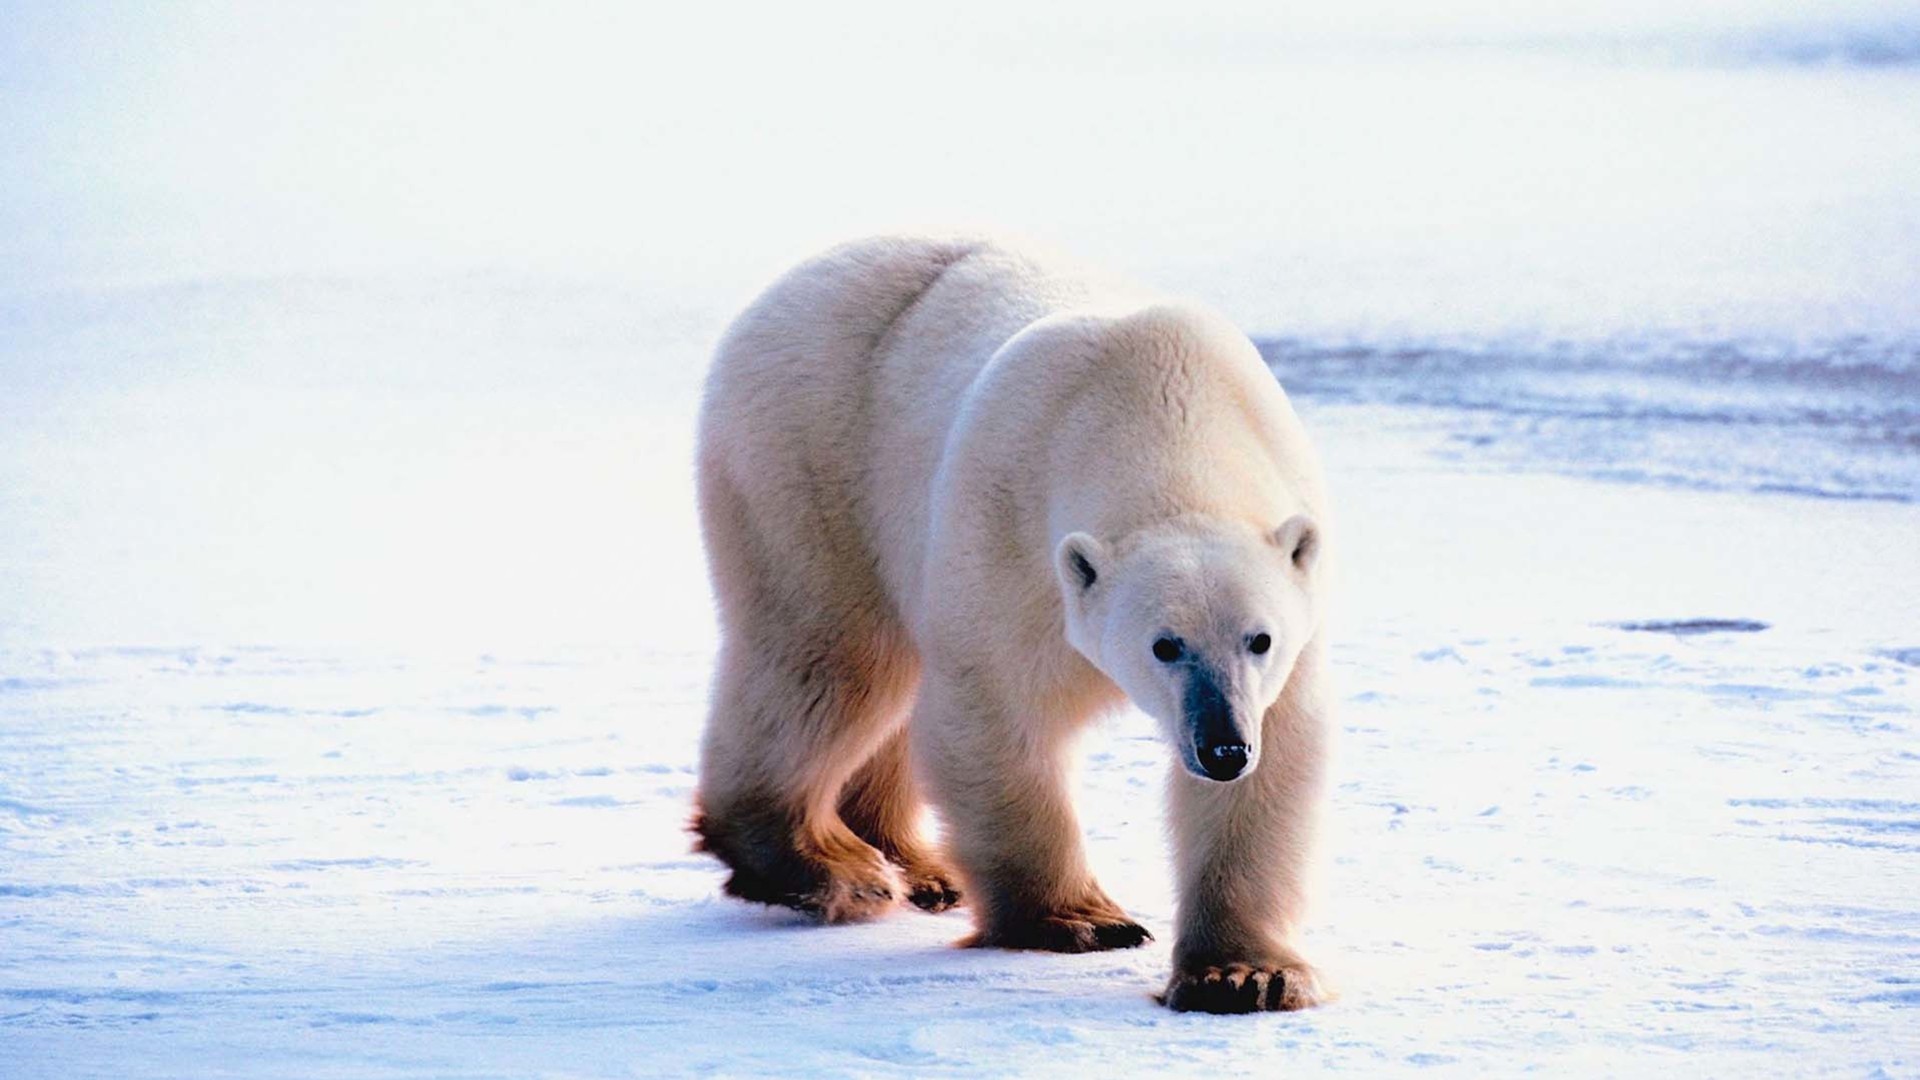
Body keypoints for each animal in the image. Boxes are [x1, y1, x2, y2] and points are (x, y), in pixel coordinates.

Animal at [691, 235, 1336, 1006]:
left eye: (1260, 639)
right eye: (1164, 645)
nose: (1223, 747)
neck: (1157, 403)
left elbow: (1277, 760)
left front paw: (1244, 976)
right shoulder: (1012, 530)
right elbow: (995, 711)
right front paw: (1082, 921)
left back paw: (919, 867)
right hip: (808, 459)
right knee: (830, 660)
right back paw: (832, 868)